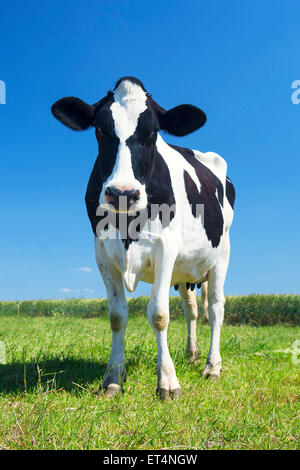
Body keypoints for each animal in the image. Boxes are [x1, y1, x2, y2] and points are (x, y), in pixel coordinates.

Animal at [51, 77, 234, 400]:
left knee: (215, 307)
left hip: (221, 256)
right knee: (192, 309)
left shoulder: (165, 248)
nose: (122, 192)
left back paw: (212, 367)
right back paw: (192, 354)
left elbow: (159, 314)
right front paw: (113, 378)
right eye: (100, 130)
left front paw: (168, 383)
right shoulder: (101, 252)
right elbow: (117, 315)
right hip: (185, 271)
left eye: (153, 132)